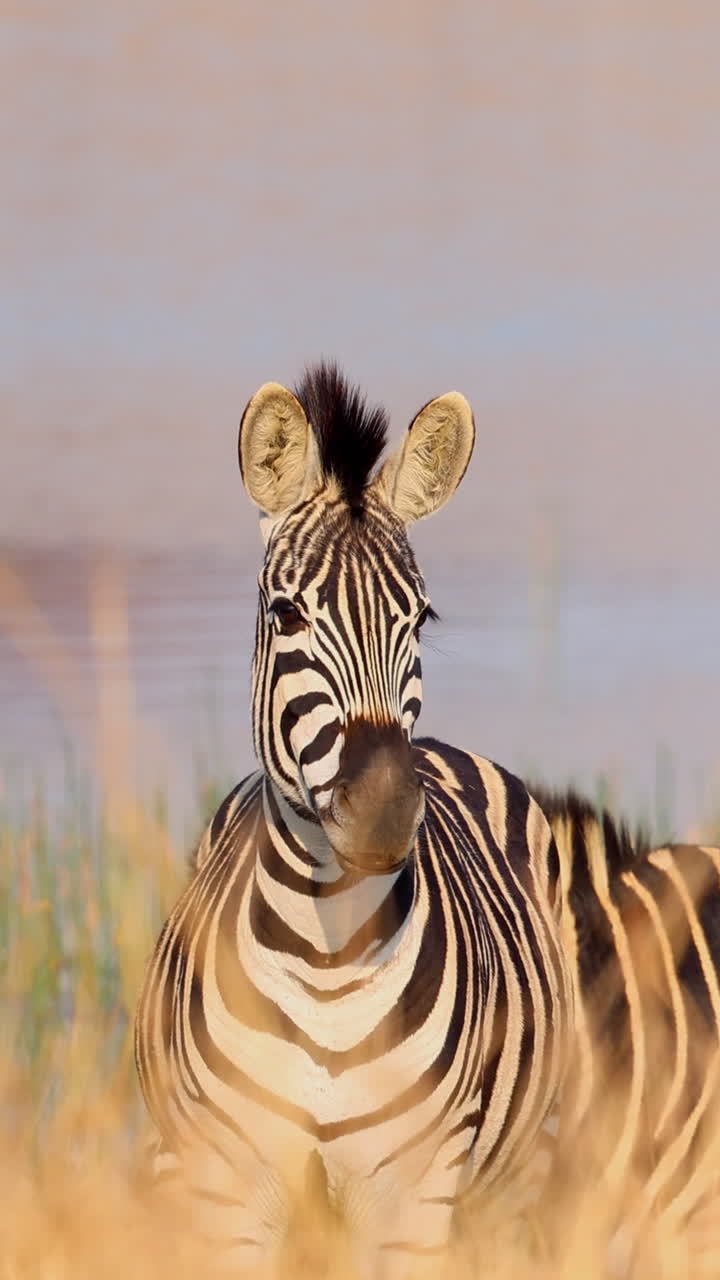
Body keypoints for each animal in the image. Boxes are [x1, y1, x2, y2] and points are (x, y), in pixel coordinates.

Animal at [135, 362, 572, 1276]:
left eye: (422, 618)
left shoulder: (413, 1199)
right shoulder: (230, 1197)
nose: (383, 812)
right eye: (287, 615)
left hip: (512, 1184)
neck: (326, 965)